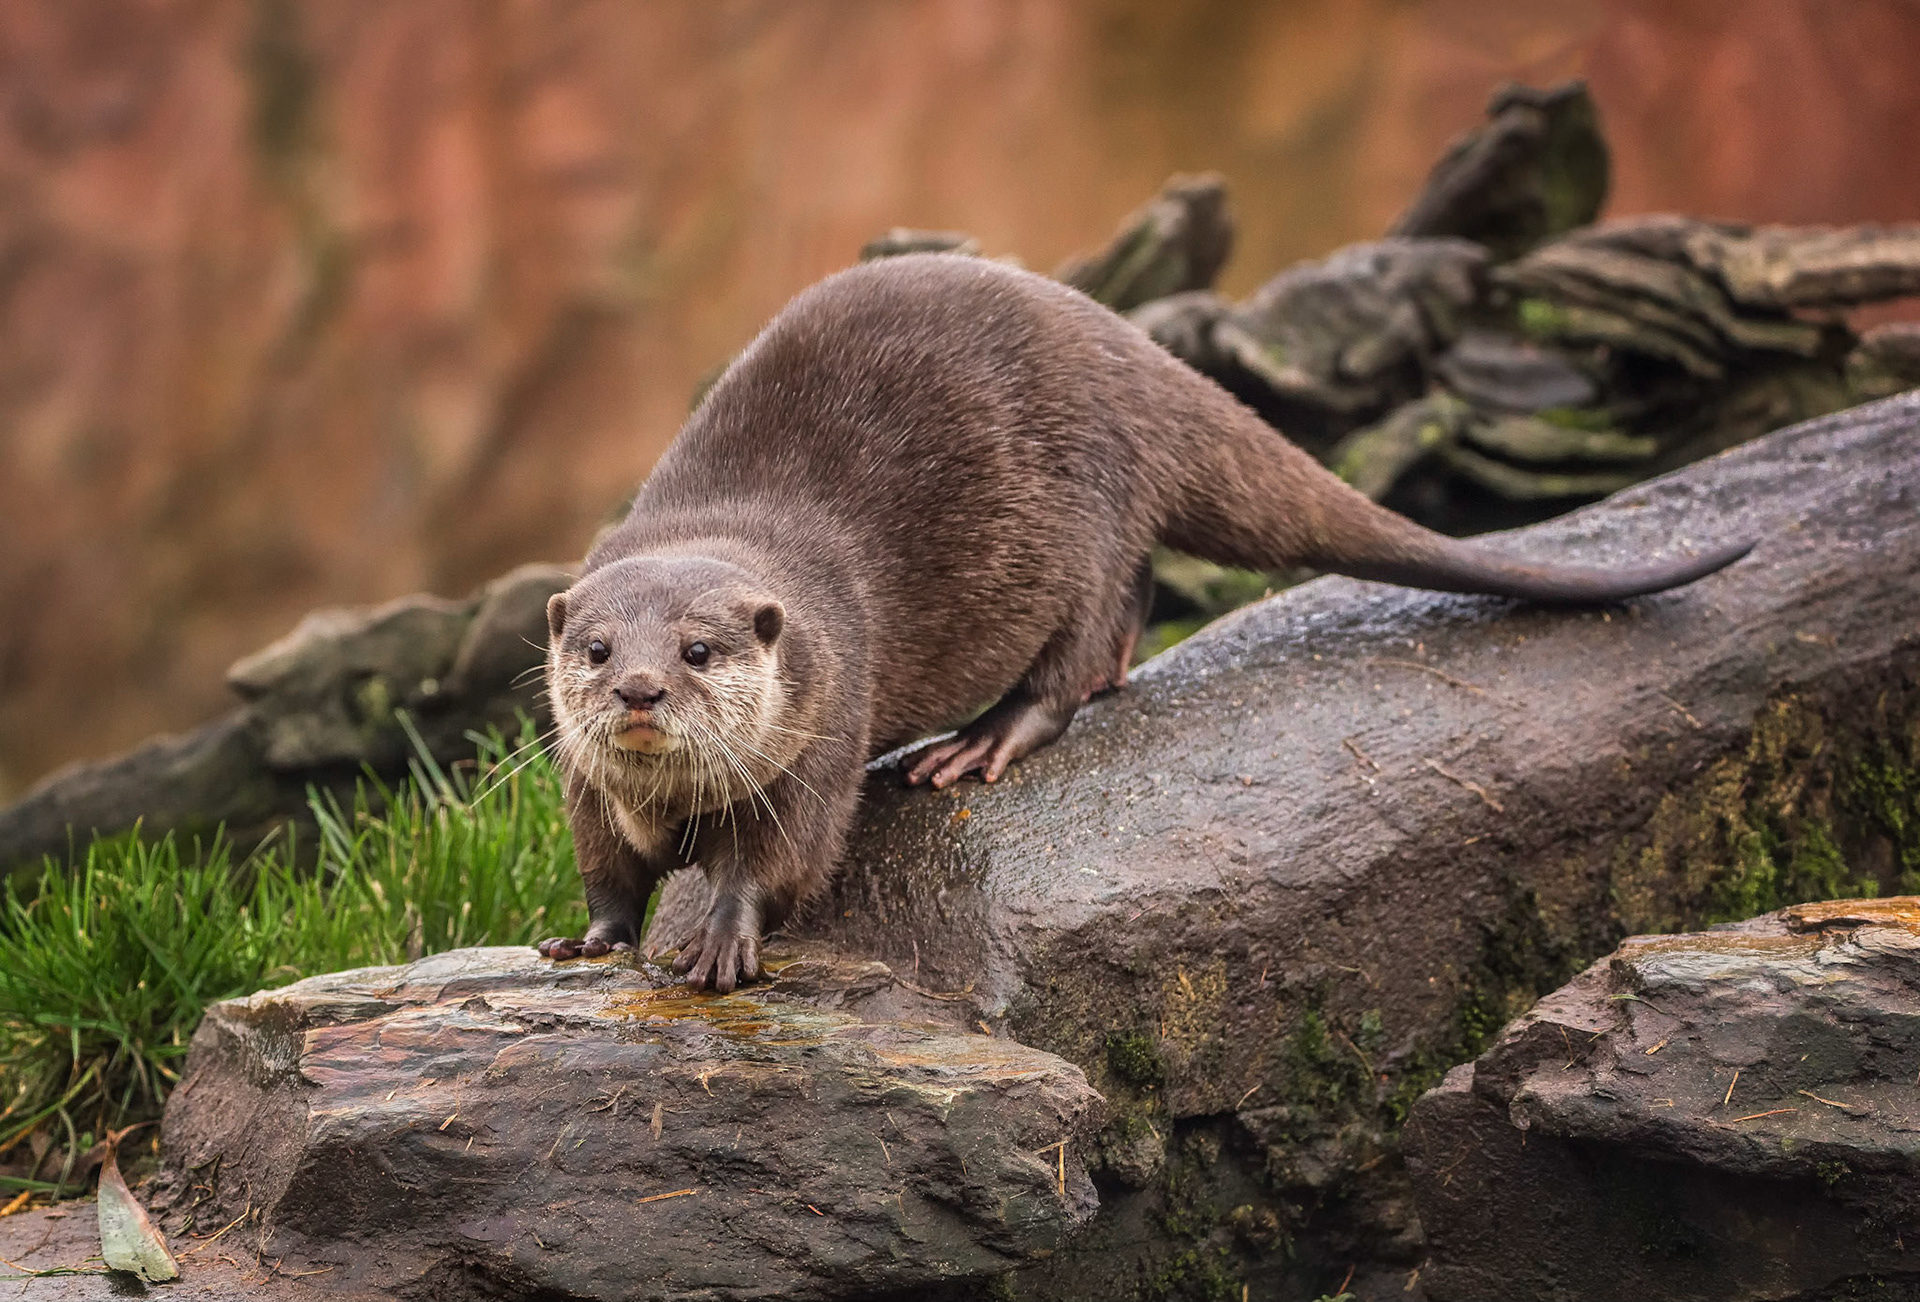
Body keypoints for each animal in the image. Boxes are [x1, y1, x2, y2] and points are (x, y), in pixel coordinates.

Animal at [536, 254, 1750, 991]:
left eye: (697, 651)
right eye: (597, 650)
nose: (639, 689)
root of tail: (1135, 356)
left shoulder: (828, 724)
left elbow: (783, 860)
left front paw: (720, 938)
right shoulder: (587, 789)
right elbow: (606, 870)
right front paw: (588, 938)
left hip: (1086, 507)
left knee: (1080, 641)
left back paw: (981, 742)